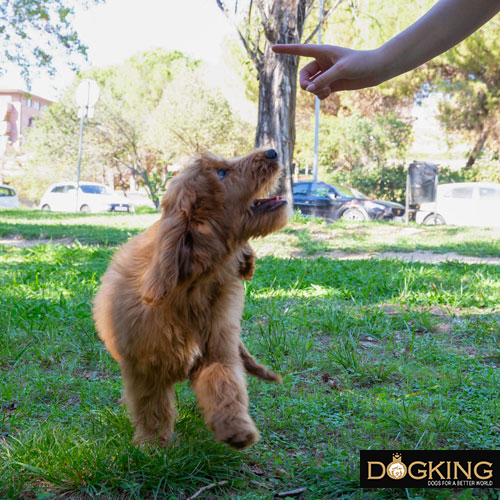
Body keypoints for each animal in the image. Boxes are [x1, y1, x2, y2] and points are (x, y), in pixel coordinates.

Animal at [93, 148, 290, 450]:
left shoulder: (218, 348)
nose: (272, 151)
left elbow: (224, 385)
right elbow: (151, 406)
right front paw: (152, 444)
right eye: (221, 172)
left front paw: (235, 427)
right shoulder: (144, 369)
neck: (193, 286)